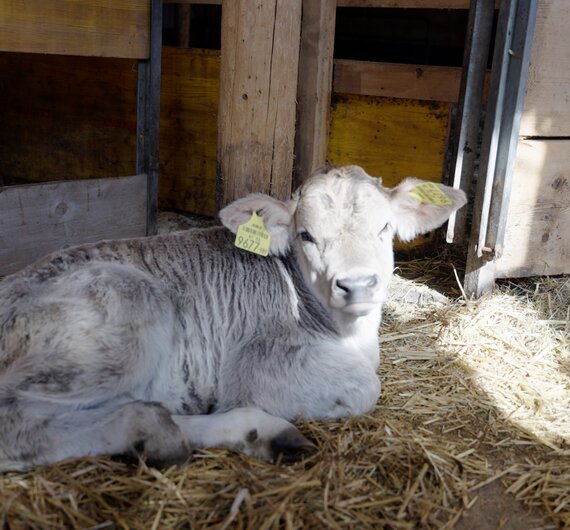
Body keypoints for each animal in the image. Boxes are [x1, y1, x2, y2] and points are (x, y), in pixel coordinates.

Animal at [0, 163, 464, 468]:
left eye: (384, 228)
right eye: (306, 235)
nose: (357, 284)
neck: (351, 337)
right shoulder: (256, 366)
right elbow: (367, 387)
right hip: (125, 308)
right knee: (18, 424)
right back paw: (151, 433)